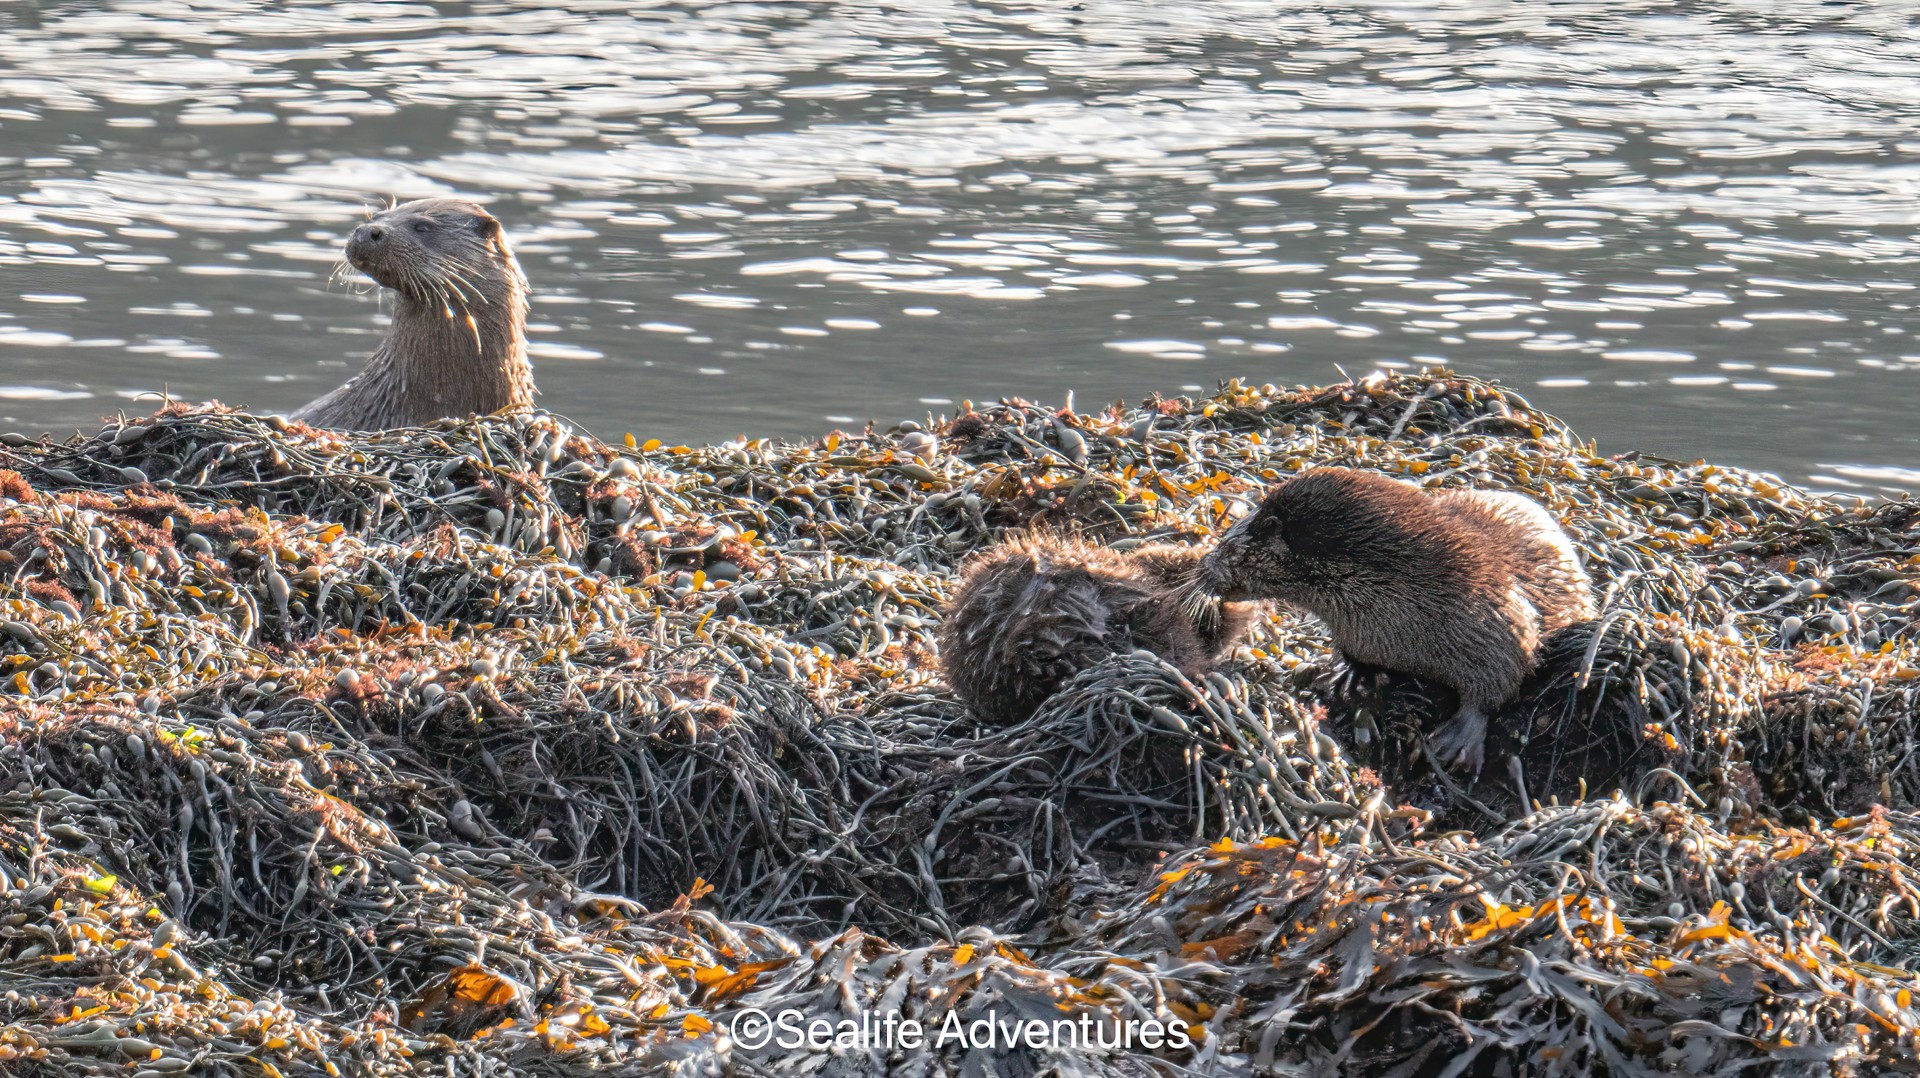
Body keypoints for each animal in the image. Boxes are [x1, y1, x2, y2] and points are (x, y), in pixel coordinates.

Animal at [1200, 468, 1595, 775]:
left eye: (1226, 547)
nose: (1203, 566)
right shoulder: (1358, 634)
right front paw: (1346, 677)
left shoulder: (1500, 616)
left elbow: (1498, 683)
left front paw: (1459, 739)